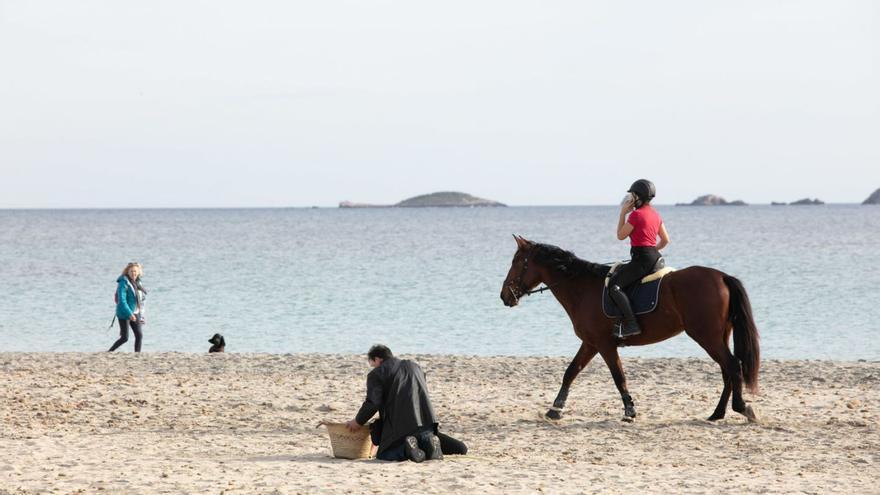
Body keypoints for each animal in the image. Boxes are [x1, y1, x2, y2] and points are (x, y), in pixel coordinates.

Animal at [498, 236, 760, 422]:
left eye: (515, 262)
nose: (504, 296)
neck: (583, 289)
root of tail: (722, 276)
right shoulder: (590, 343)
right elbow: (571, 372)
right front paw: (555, 410)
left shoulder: (604, 344)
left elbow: (618, 377)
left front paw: (630, 411)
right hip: (718, 336)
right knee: (727, 369)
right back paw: (717, 413)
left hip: (707, 336)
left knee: (732, 366)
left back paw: (741, 408)